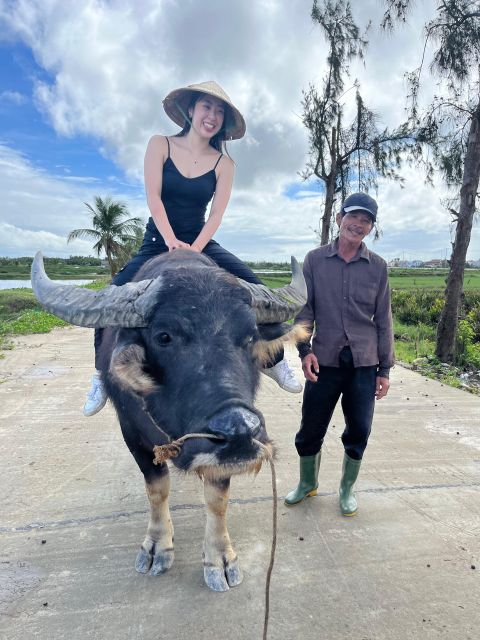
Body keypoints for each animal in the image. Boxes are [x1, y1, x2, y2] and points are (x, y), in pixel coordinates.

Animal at [31, 250, 308, 592]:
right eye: (164, 336)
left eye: (250, 336)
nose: (239, 431)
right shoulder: (132, 433)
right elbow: (157, 489)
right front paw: (156, 547)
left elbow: (217, 499)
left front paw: (219, 559)